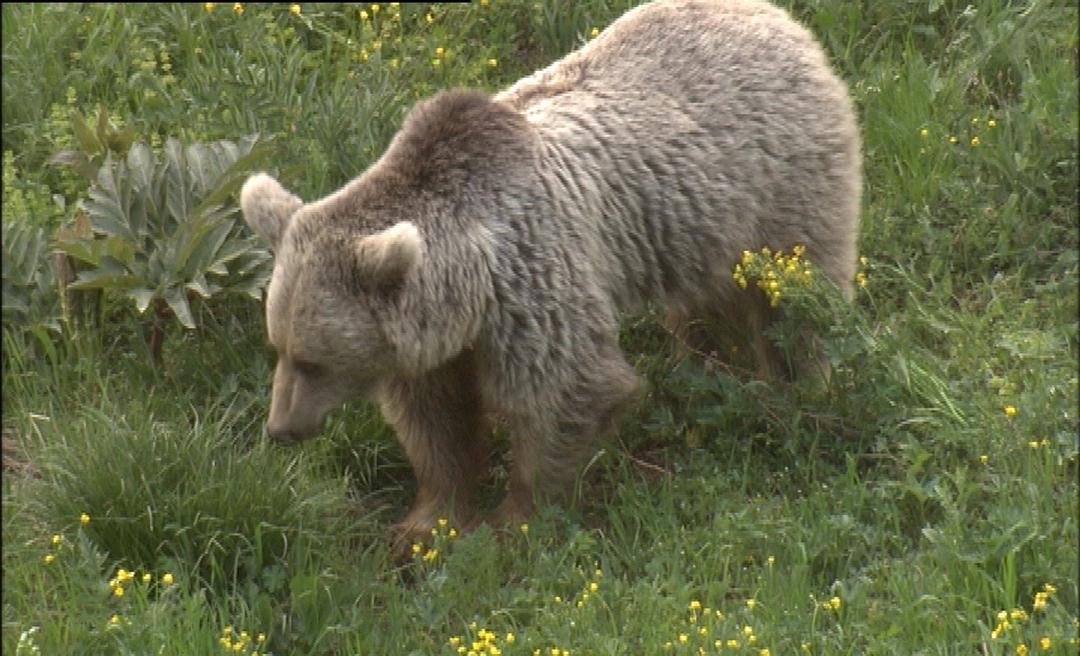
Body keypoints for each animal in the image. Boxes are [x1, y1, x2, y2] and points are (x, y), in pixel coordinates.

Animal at [240, 0, 861, 549]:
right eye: (278, 346)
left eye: (313, 360)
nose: (281, 429)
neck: (468, 287)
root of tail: (781, 20)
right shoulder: (433, 341)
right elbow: (435, 421)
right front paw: (424, 524)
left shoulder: (531, 284)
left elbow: (565, 391)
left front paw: (515, 522)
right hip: (702, 223)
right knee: (712, 298)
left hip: (783, 180)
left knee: (798, 295)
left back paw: (802, 389)